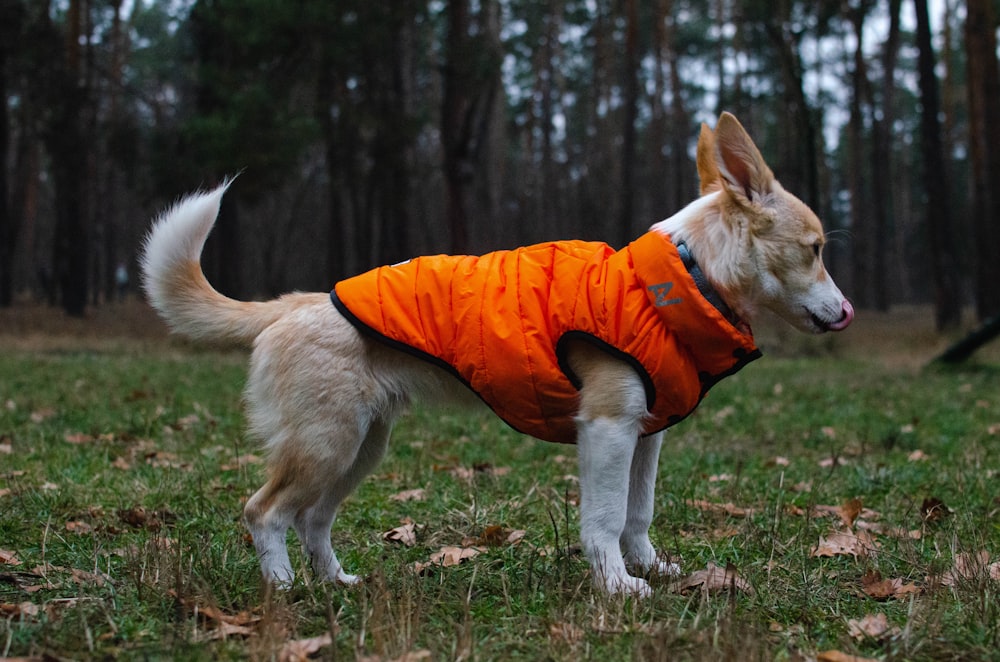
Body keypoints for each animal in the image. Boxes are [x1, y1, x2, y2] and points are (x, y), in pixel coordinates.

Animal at [141, 111, 856, 600]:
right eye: (816, 248)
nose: (848, 313)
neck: (678, 281)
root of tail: (291, 305)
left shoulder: (647, 437)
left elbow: (637, 512)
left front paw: (649, 567)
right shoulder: (607, 429)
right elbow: (602, 518)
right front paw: (618, 586)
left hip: (359, 447)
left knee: (313, 518)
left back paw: (336, 581)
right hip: (325, 444)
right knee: (265, 513)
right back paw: (285, 590)